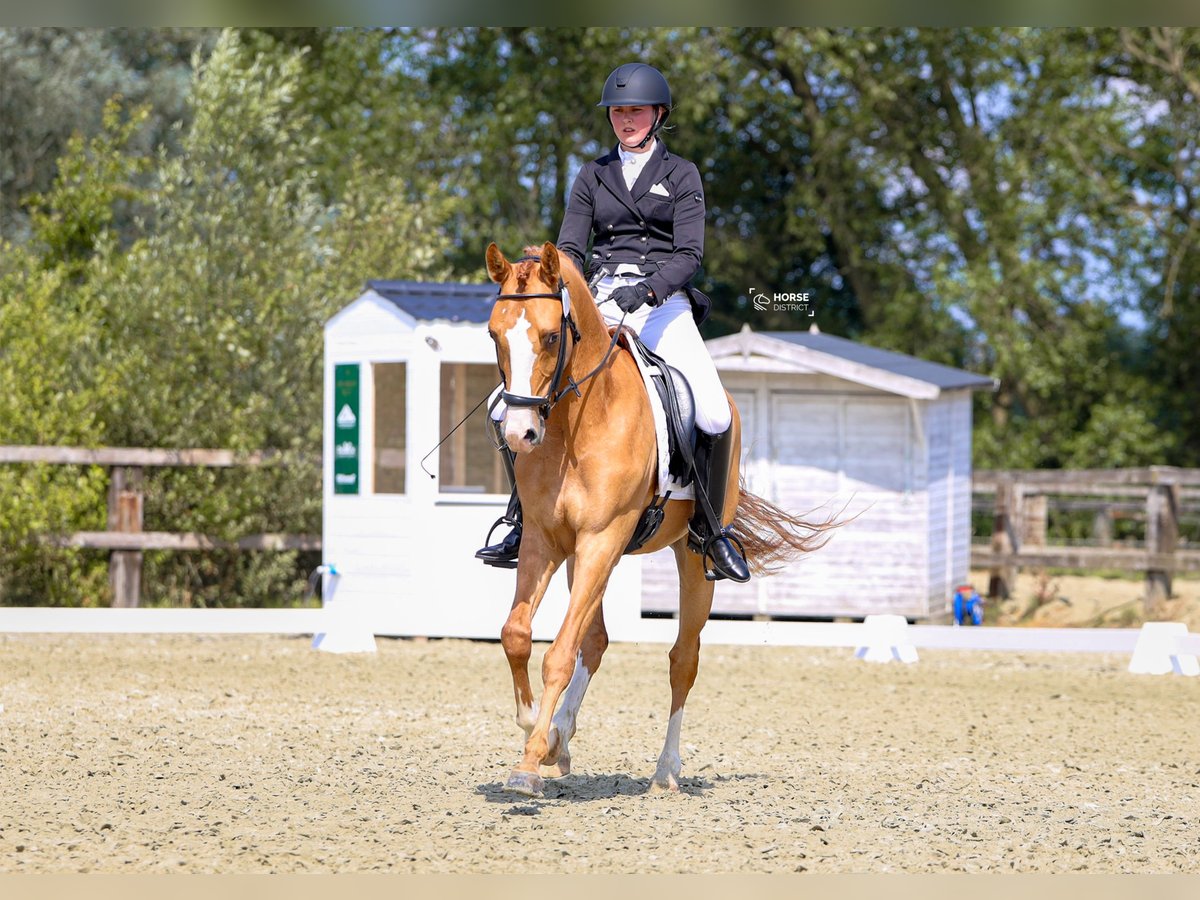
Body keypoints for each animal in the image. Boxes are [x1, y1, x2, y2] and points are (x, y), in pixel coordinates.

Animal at [482, 240, 830, 796]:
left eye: (552, 336)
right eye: (495, 335)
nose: (520, 433)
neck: (578, 424)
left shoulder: (602, 539)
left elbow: (559, 653)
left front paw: (530, 759)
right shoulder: (545, 539)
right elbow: (517, 634)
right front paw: (537, 727)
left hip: (688, 556)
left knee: (682, 658)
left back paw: (665, 770)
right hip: (584, 557)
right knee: (596, 642)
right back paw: (562, 737)